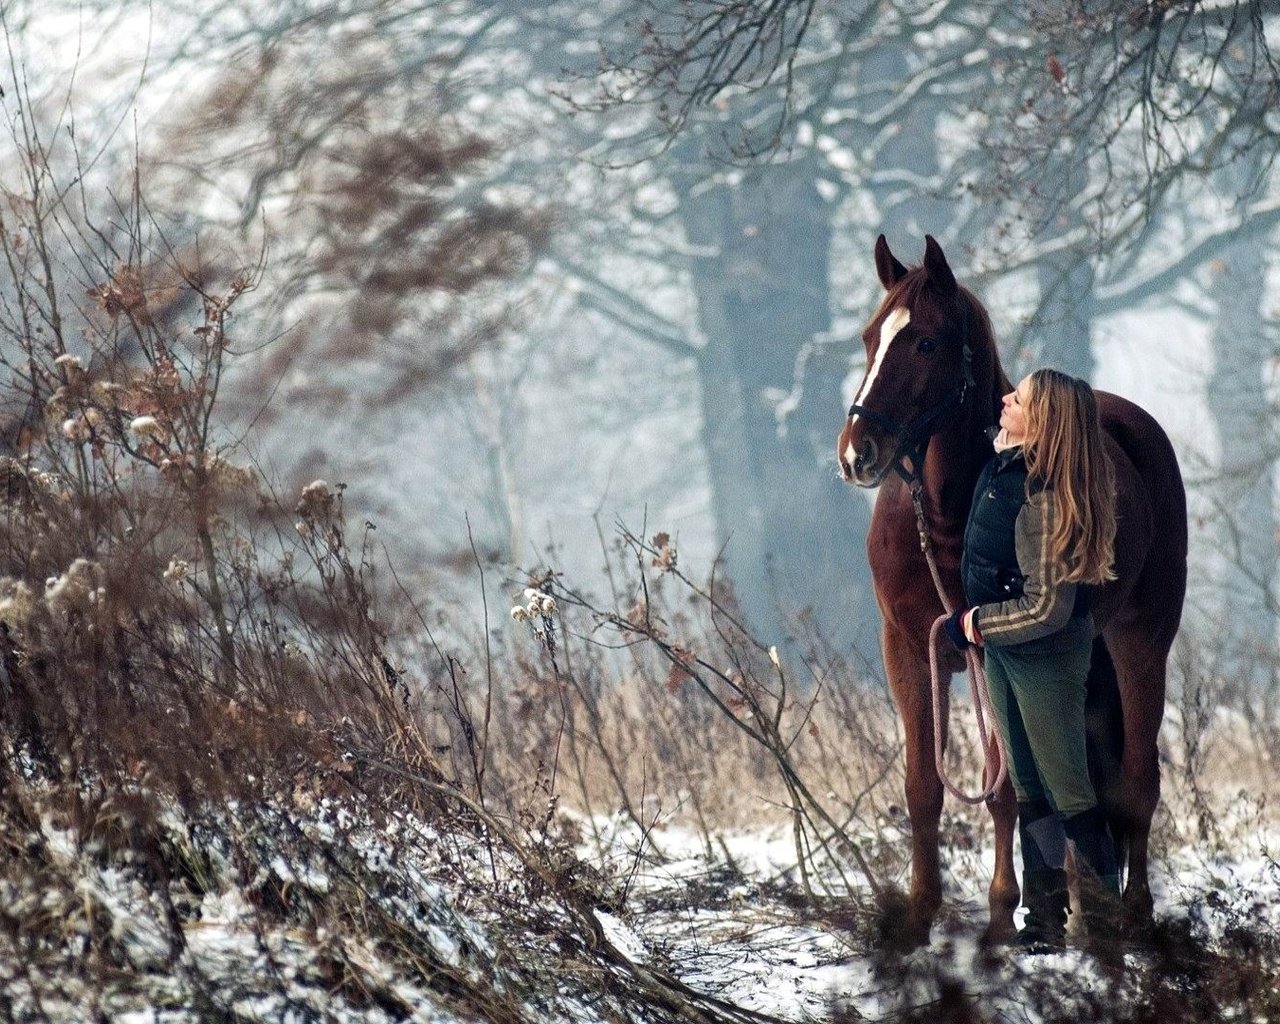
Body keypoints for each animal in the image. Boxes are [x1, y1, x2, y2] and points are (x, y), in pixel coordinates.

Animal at [839, 234, 1187, 942]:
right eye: (868, 337)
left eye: (925, 343)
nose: (858, 453)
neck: (953, 514)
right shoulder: (908, 651)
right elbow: (923, 786)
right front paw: (919, 918)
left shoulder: (991, 650)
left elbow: (1003, 791)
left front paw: (1001, 914)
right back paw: (1085, 910)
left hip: (1141, 642)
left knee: (1137, 782)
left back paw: (1131, 916)